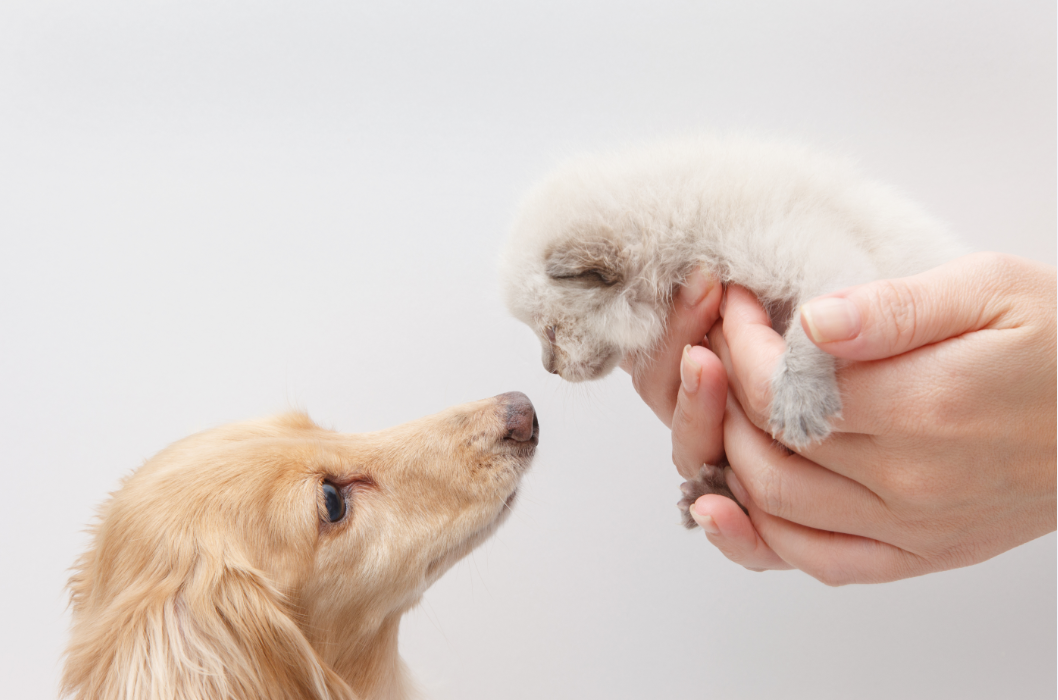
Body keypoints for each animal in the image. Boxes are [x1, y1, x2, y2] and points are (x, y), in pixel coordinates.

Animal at [503, 137, 969, 520]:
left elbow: (810, 320)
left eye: (551, 332)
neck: (682, 223)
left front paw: (799, 397)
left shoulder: (816, 257)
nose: (548, 368)